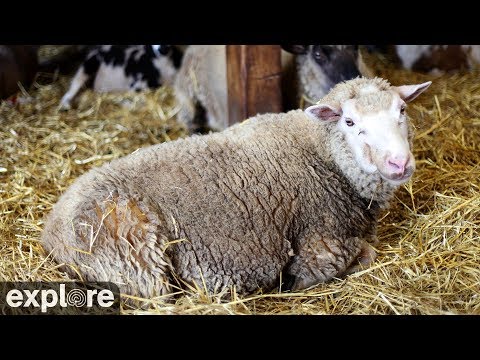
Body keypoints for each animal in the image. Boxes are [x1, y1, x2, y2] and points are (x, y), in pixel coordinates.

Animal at [41, 76, 432, 298]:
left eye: (401, 111)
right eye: (350, 122)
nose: (399, 163)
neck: (324, 155)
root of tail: (50, 230)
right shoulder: (321, 243)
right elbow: (364, 255)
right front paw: (291, 283)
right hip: (134, 259)